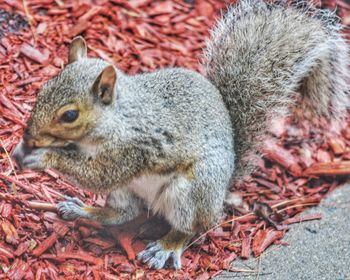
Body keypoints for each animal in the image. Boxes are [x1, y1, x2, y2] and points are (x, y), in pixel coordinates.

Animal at [11, 0, 350, 270]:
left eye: (70, 115)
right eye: (42, 89)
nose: (30, 137)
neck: (117, 118)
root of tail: (223, 186)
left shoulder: (134, 148)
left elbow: (100, 175)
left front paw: (44, 157)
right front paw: (22, 151)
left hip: (191, 191)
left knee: (190, 228)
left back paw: (166, 246)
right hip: (128, 191)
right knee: (121, 214)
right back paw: (83, 210)